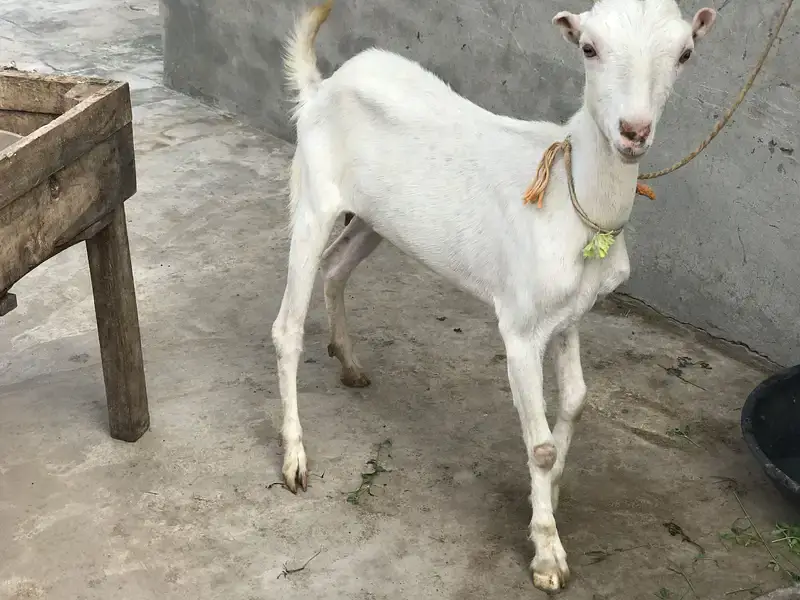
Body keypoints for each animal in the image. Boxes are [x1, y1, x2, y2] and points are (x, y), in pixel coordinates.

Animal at [271, 0, 716, 591]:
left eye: (685, 52)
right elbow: (541, 445)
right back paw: (295, 458)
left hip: (377, 220)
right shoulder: (521, 328)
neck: (572, 195)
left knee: (337, 268)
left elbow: (575, 401)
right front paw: (548, 555)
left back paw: (349, 362)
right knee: (287, 327)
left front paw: (547, 501)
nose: (633, 132)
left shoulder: (570, 314)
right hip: (314, 201)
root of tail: (321, 86)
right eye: (588, 48)